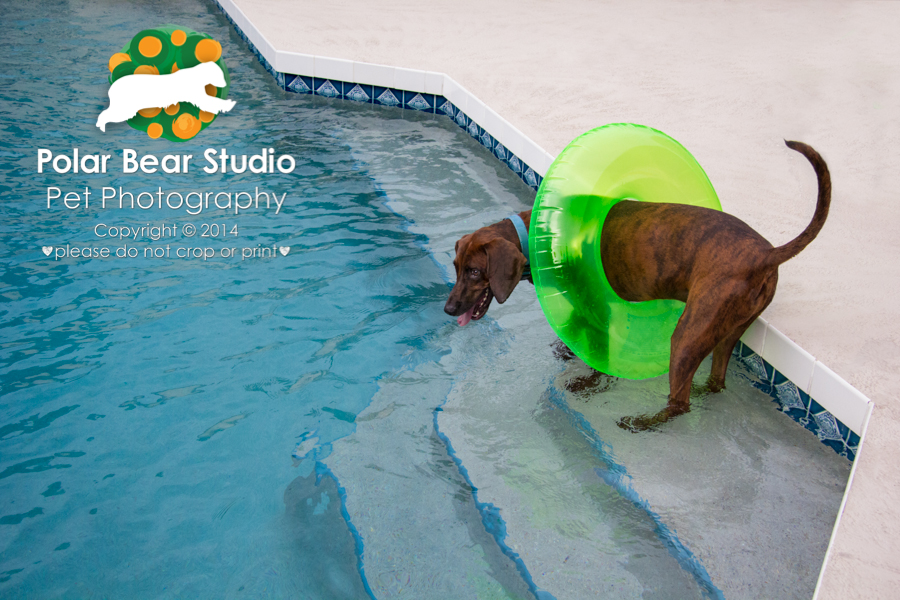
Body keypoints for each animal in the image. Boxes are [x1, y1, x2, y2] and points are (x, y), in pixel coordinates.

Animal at [442, 141, 828, 432]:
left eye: (475, 272)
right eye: (457, 268)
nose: (448, 308)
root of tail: (766, 253)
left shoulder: (599, 307)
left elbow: (599, 361)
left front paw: (588, 385)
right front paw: (568, 350)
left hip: (689, 334)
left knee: (680, 404)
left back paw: (643, 423)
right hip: (730, 330)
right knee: (715, 382)